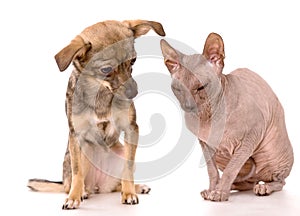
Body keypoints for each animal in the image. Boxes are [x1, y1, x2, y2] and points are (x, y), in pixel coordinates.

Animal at [27, 20, 165, 209]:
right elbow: (77, 172)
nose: (133, 92)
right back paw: (82, 192)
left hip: (122, 152)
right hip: (82, 154)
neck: (100, 91)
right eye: (106, 69)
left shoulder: (131, 129)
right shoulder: (76, 135)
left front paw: (129, 193)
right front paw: (73, 198)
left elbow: (128, 169)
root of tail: (100, 187)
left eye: (133, 60)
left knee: (117, 183)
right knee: (75, 182)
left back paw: (136, 187)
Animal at [161, 33, 294, 202]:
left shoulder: (251, 137)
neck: (209, 116)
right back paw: (225, 187)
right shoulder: (204, 143)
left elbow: (232, 169)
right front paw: (213, 189)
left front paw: (219, 194)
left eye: (201, 87)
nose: (188, 106)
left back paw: (263, 187)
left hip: (272, 155)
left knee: (279, 181)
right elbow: (212, 171)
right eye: (177, 89)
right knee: (245, 183)